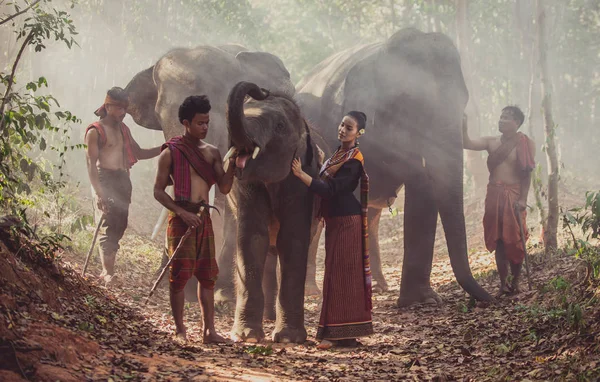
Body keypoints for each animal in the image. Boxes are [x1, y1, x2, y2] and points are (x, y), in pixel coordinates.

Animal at [225, 81, 322, 344]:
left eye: (279, 126)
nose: (262, 89)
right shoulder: (247, 184)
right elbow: (251, 237)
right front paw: (247, 337)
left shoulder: (303, 180)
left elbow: (292, 241)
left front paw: (289, 338)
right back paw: (267, 319)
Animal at [296, 27, 492, 308]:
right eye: (411, 105)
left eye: (463, 101)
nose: (495, 297)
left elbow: (423, 185)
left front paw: (421, 299)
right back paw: (312, 290)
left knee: (371, 214)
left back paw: (378, 284)